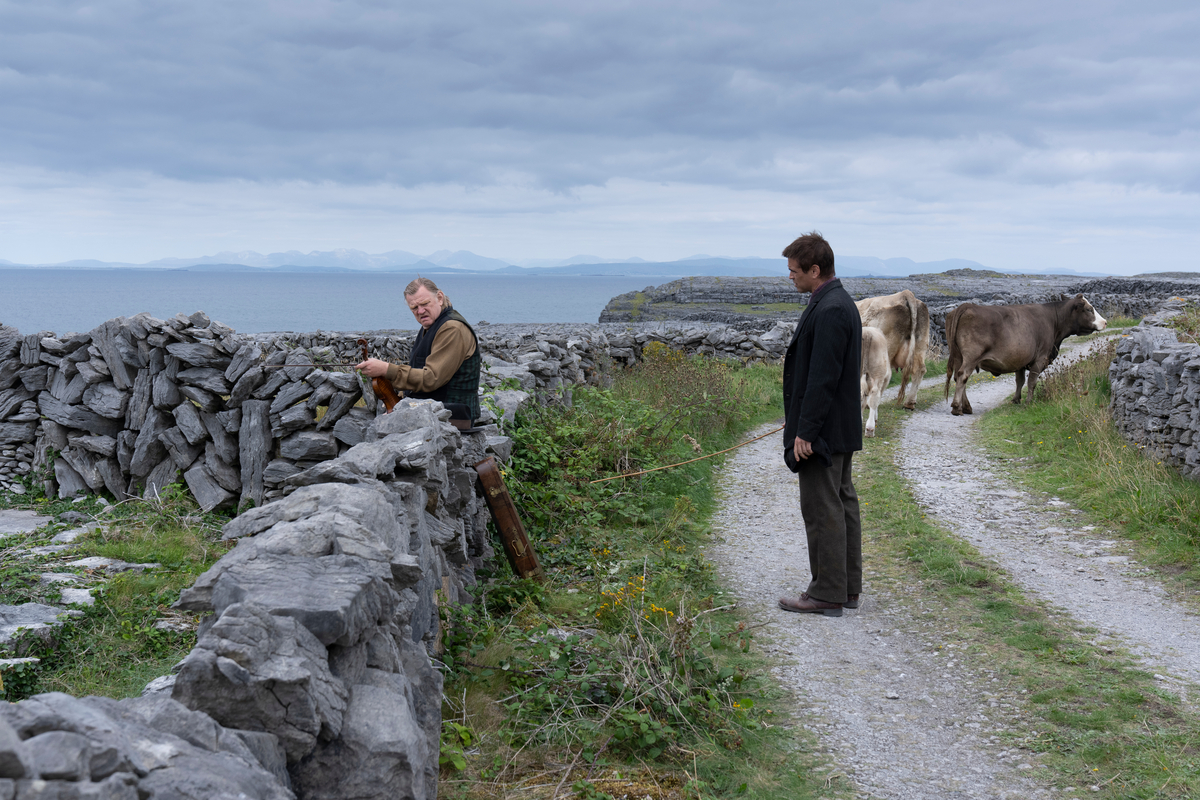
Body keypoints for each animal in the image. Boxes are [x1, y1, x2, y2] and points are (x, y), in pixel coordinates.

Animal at [945, 296, 1104, 419]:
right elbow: (1032, 381)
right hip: (971, 357)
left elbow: (1019, 381)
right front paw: (1028, 402)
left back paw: (966, 407)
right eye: (1089, 309)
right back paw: (957, 408)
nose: (1105, 322)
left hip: (958, 356)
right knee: (963, 376)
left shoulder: (1020, 360)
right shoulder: (1040, 358)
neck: (1053, 321)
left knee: (958, 377)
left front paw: (1016, 400)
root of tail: (967, 306)